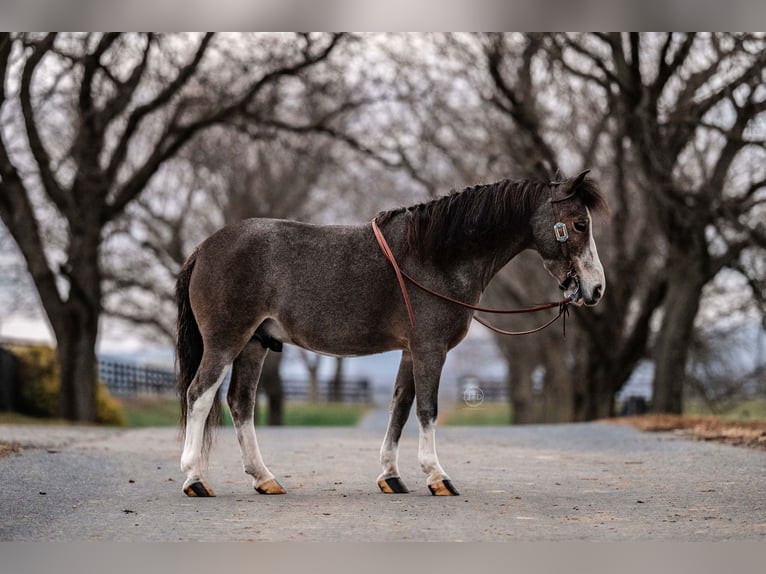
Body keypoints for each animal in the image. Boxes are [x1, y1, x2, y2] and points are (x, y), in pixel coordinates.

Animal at [177, 171, 608, 500]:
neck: (437, 257)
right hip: (225, 341)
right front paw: (437, 476)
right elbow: (427, 410)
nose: (596, 289)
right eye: (580, 224)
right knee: (199, 395)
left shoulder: (410, 352)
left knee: (241, 402)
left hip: (254, 344)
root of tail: (204, 246)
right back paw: (195, 479)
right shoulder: (430, 348)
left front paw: (391, 476)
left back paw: (264, 478)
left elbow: (400, 406)